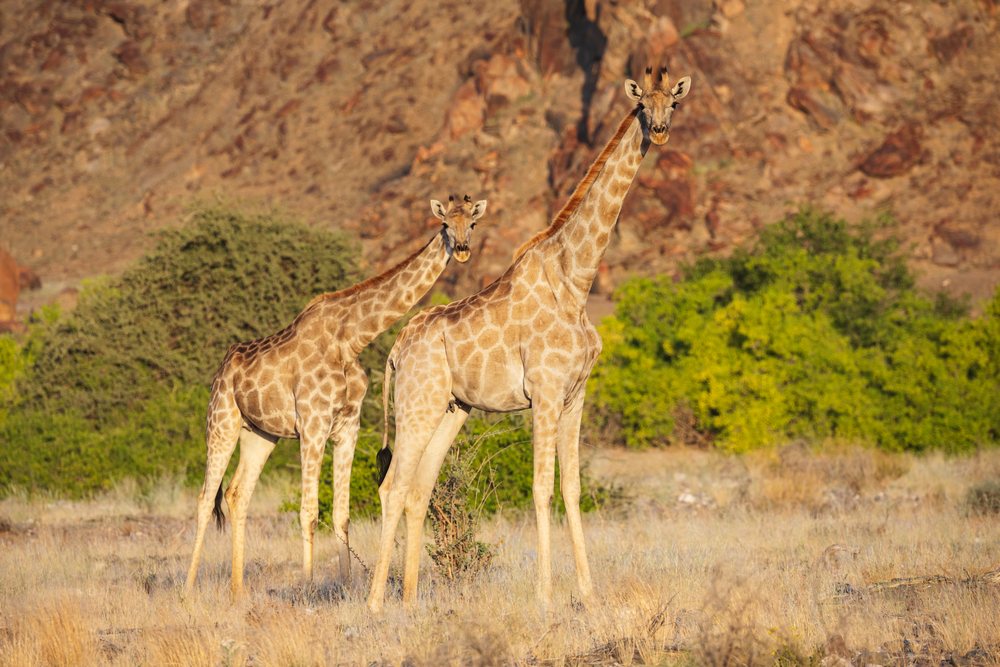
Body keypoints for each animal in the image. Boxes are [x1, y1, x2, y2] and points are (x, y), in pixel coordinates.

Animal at [182, 195, 488, 598]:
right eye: (446, 225)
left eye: (472, 223)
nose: (464, 250)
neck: (351, 337)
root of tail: (221, 369)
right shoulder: (313, 424)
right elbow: (309, 512)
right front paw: (310, 589)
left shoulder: (347, 426)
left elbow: (341, 514)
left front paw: (345, 588)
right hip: (221, 422)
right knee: (205, 498)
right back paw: (187, 591)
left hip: (260, 434)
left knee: (236, 494)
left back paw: (237, 592)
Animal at [367, 68, 690, 612]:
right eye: (642, 105)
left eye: (674, 103)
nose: (661, 131)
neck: (576, 281)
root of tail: (396, 350)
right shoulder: (544, 393)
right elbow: (542, 489)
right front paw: (545, 595)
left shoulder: (576, 395)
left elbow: (574, 489)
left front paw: (589, 593)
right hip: (417, 403)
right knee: (393, 487)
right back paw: (373, 604)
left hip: (451, 409)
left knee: (418, 489)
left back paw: (409, 601)